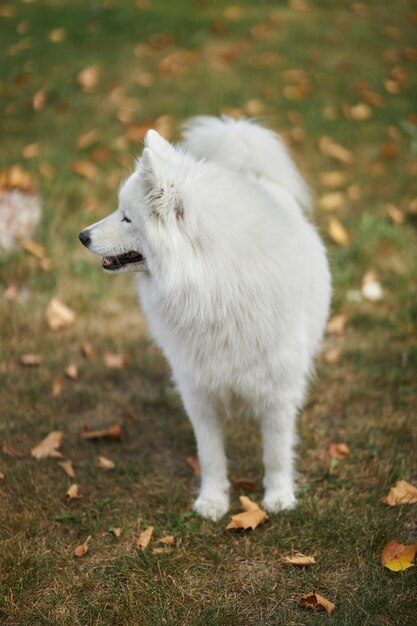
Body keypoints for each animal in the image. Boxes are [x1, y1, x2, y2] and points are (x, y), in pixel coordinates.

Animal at [79, 116, 330, 516]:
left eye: (127, 218)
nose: (82, 235)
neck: (216, 285)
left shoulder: (277, 391)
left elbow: (276, 452)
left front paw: (279, 496)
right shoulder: (199, 391)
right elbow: (211, 455)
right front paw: (212, 500)